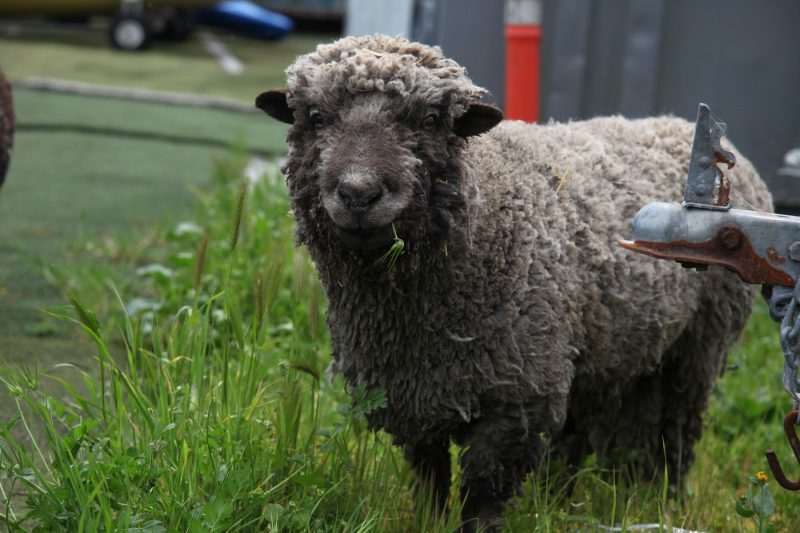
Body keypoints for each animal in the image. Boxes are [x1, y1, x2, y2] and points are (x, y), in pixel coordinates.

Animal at [256, 35, 768, 528]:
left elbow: (483, 494)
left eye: (430, 119)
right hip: (608, 353)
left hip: (698, 347)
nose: (359, 193)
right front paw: (429, 520)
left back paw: (664, 499)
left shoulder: (516, 399)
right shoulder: (413, 396)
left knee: (675, 430)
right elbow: (428, 477)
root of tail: (685, 127)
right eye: (314, 116)